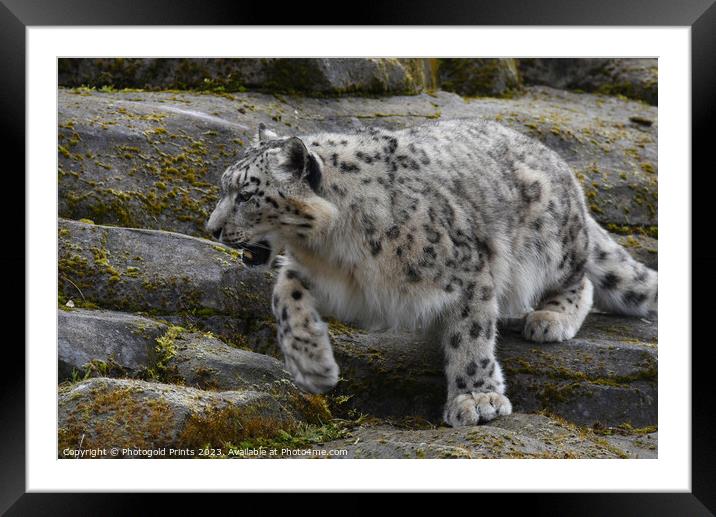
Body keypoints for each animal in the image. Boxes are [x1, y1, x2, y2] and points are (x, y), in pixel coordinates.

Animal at [204, 121, 656, 428]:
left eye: (246, 195)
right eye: (225, 187)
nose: (212, 229)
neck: (335, 249)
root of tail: (563, 168)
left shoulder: (468, 269)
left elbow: (471, 335)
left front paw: (476, 399)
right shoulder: (322, 275)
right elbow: (284, 294)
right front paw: (312, 366)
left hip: (552, 244)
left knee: (581, 277)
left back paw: (550, 318)